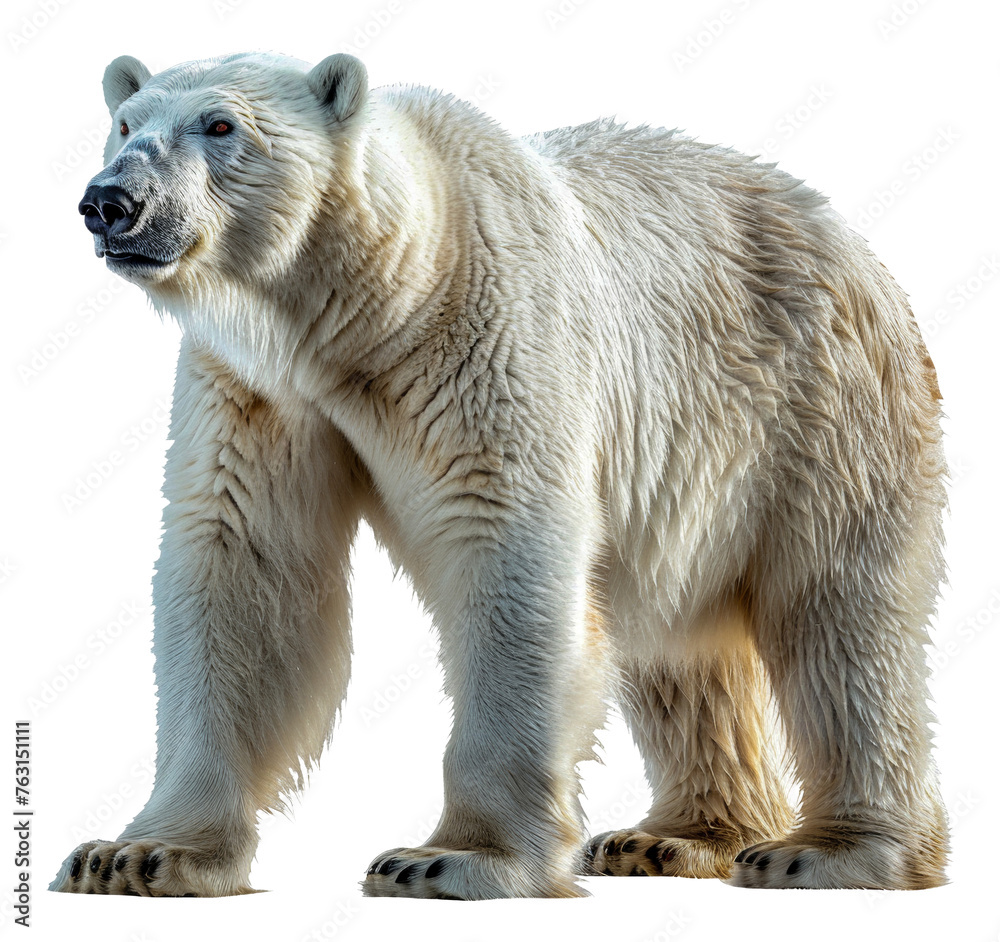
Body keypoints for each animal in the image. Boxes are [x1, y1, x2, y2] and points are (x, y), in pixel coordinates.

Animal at [50, 51, 948, 899]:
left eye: (220, 125)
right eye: (124, 122)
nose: (110, 202)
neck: (372, 307)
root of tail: (849, 236)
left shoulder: (489, 336)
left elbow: (508, 549)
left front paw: (449, 860)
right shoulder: (261, 390)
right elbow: (244, 569)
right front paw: (136, 854)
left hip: (819, 408)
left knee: (839, 615)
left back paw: (829, 851)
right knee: (677, 647)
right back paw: (670, 839)